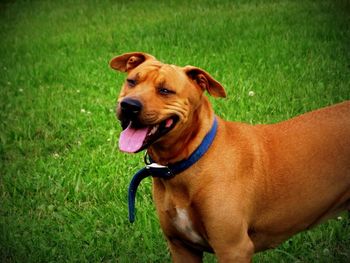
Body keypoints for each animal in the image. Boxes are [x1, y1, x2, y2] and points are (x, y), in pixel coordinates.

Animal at [109, 52, 350, 262]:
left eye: (165, 90)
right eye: (131, 81)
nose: (129, 105)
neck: (193, 158)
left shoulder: (233, 249)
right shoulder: (182, 247)